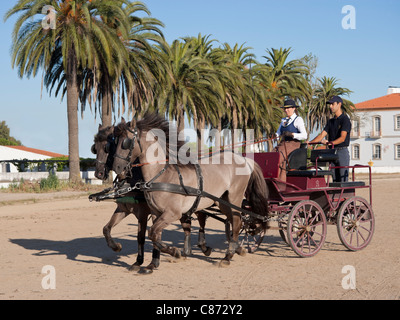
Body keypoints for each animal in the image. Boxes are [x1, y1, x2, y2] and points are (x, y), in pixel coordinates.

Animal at [111, 114, 268, 272]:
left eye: (126, 142)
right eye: (114, 141)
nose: (116, 168)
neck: (163, 175)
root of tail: (245, 159)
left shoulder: (173, 213)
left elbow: (153, 234)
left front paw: (175, 252)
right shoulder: (156, 213)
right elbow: (155, 235)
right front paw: (154, 263)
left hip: (234, 198)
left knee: (236, 223)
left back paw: (227, 257)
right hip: (222, 202)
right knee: (237, 221)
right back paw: (237, 249)